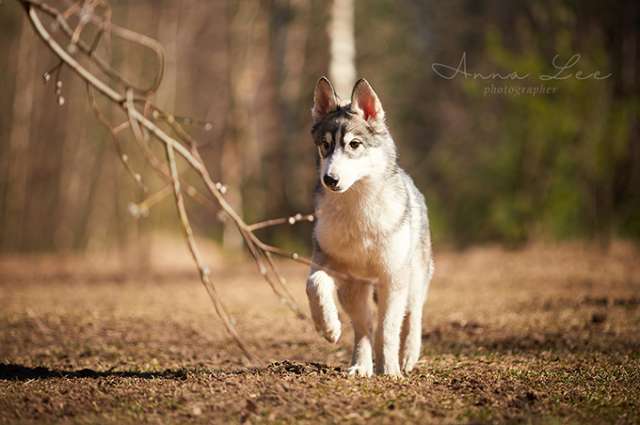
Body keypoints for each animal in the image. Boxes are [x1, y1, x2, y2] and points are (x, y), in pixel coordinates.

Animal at [306, 75, 436, 374]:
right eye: (325, 145)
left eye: (354, 145)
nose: (329, 179)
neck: (357, 209)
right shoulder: (337, 271)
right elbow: (314, 284)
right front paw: (328, 327)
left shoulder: (393, 277)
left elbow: (389, 328)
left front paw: (391, 371)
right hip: (357, 291)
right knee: (364, 326)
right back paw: (362, 366)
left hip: (413, 280)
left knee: (412, 317)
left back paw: (406, 358)